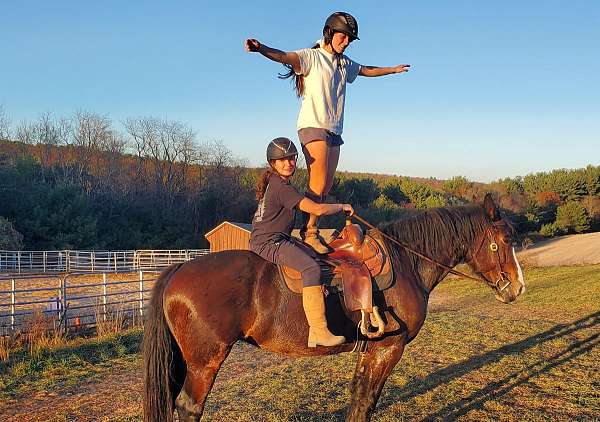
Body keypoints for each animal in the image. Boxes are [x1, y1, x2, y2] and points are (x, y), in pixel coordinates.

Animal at [143, 195, 524, 422]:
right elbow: (367, 400)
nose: (517, 286)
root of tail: (179, 268)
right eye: (505, 239)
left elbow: (358, 396)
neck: (406, 262)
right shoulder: (389, 348)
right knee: (189, 408)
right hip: (205, 361)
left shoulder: (371, 349)